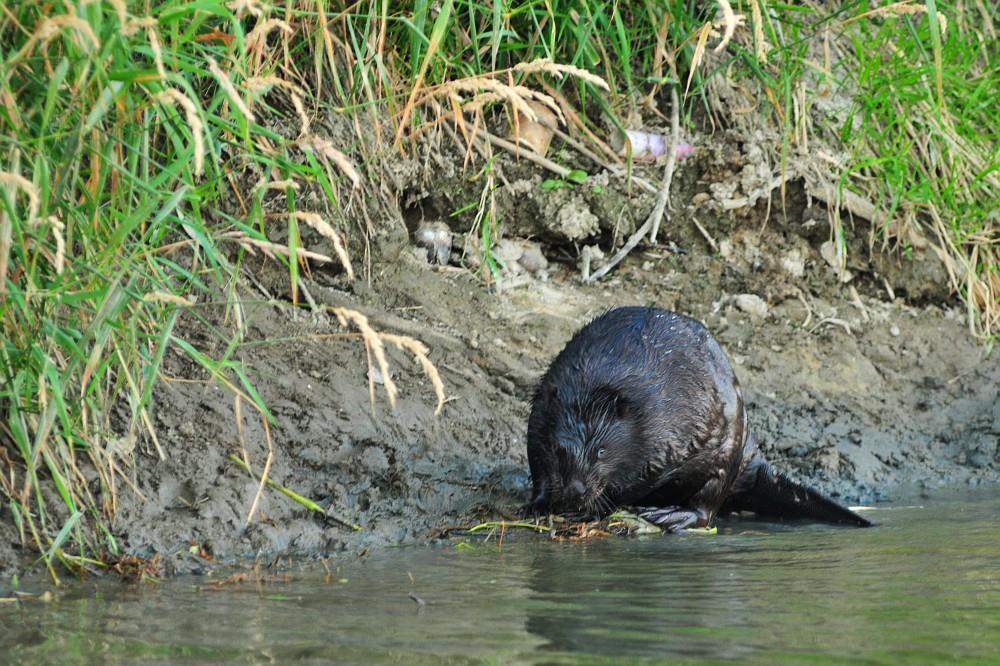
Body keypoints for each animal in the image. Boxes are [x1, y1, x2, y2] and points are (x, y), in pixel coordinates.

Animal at [528, 304, 872, 528]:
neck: (595, 388)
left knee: (708, 508)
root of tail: (755, 461)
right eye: (560, 449)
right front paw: (537, 504)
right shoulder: (543, 409)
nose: (575, 491)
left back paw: (669, 515)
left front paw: (589, 510)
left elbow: (641, 477)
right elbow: (537, 459)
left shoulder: (661, 431)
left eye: (601, 451)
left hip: (728, 451)